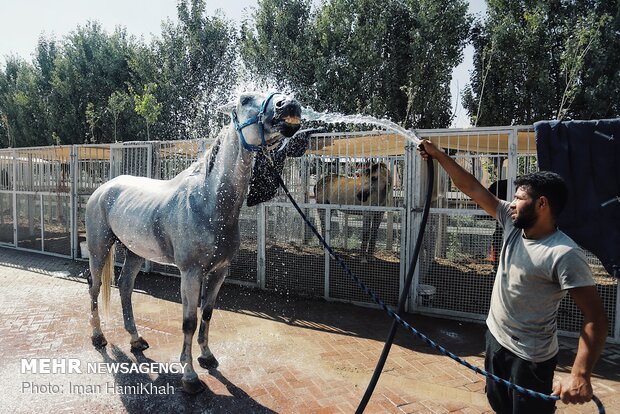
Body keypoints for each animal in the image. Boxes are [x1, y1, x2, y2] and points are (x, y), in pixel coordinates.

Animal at [85, 92, 302, 392]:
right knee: (94, 289)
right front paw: (189, 376)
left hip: (134, 252)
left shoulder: (219, 272)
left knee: (125, 287)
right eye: (245, 99)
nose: (289, 105)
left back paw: (136, 340)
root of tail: (104, 189)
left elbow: (207, 314)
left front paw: (207, 357)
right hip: (99, 249)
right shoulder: (190, 273)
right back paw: (98, 337)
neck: (207, 203)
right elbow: (189, 321)